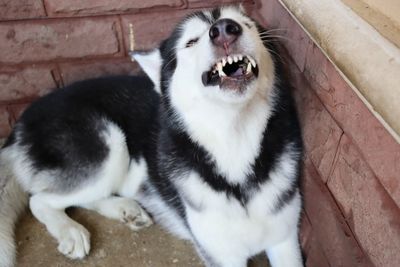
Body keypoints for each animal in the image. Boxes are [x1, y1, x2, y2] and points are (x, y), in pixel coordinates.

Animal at [0, 6, 304, 267]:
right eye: (191, 41)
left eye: (247, 24)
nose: (225, 29)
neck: (234, 143)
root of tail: (21, 122)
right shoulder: (221, 254)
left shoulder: (285, 240)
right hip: (109, 147)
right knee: (39, 200)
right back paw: (70, 230)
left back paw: (124, 209)